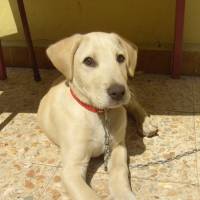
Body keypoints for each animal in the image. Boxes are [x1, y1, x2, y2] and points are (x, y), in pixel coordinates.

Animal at [37, 32, 156, 199]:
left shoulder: (118, 148)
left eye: (120, 58)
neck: (98, 113)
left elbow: (120, 173)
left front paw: (124, 194)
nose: (118, 91)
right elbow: (88, 195)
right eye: (88, 61)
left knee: (133, 103)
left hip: (127, 101)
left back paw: (147, 124)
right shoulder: (71, 168)